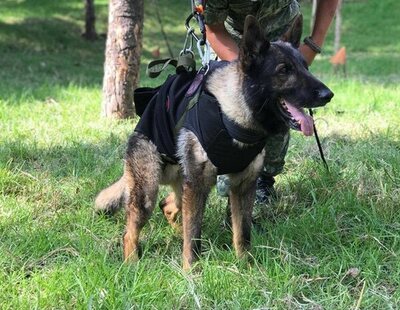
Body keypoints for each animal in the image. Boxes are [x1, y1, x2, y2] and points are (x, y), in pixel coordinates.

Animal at [96, 16, 334, 268]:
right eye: (284, 70)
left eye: (305, 67)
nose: (328, 95)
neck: (234, 117)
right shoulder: (199, 185)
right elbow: (194, 237)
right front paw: (191, 271)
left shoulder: (243, 187)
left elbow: (242, 234)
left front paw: (246, 266)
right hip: (149, 191)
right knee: (131, 230)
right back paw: (132, 262)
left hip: (183, 187)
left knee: (168, 206)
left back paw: (175, 234)